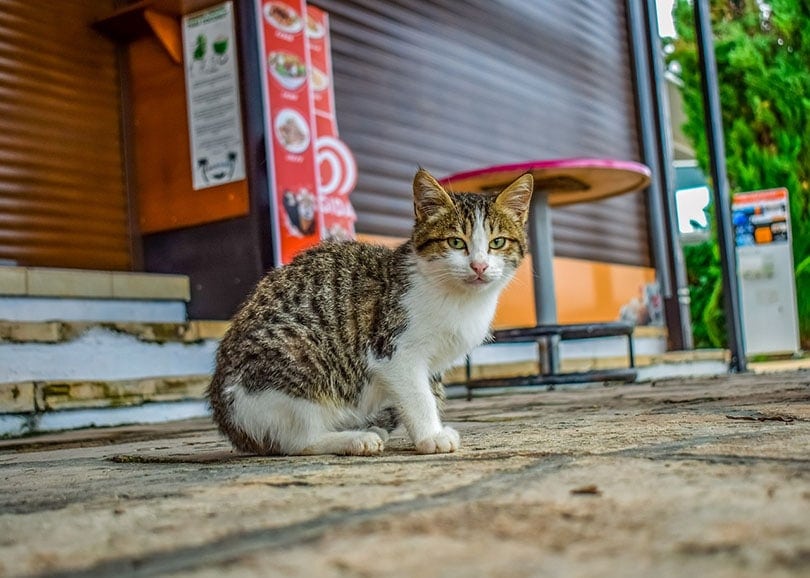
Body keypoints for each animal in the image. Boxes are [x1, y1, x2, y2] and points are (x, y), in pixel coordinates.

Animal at [207, 168, 532, 454]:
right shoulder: (395, 350)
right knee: (296, 442)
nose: (479, 266)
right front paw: (430, 436)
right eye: (455, 242)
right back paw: (353, 440)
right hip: (295, 357)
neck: (461, 299)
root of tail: (231, 424)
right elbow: (418, 395)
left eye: (497, 243)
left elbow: (430, 390)